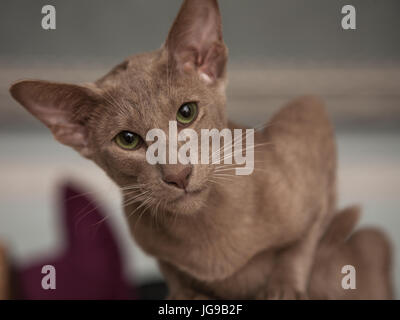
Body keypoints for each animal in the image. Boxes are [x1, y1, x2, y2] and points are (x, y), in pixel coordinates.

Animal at [8, 0, 390, 300]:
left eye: (187, 113)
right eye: (127, 140)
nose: (178, 174)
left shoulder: (309, 116)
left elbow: (305, 237)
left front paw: (283, 288)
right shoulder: (149, 242)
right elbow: (174, 274)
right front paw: (188, 294)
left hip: (372, 238)